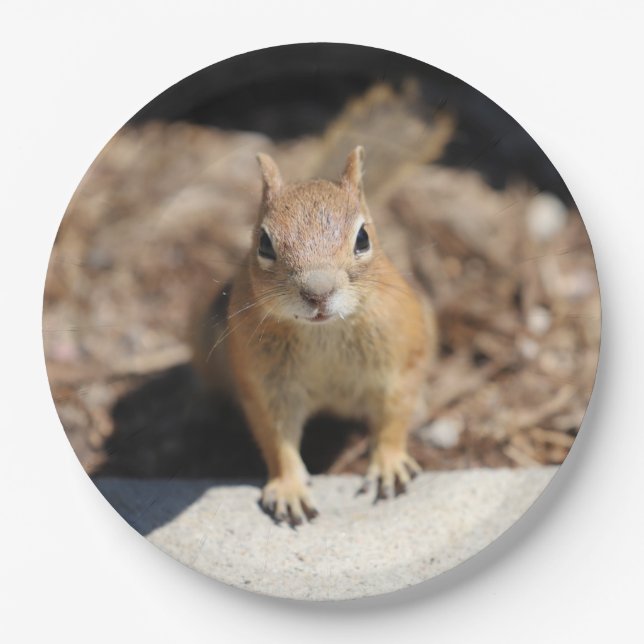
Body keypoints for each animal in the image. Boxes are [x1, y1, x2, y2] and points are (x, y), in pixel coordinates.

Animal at [192, 146, 437, 525]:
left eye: (363, 238)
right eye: (264, 243)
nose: (317, 292)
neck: (323, 332)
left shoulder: (401, 362)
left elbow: (394, 415)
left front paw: (389, 465)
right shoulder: (264, 384)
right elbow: (276, 437)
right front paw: (290, 488)